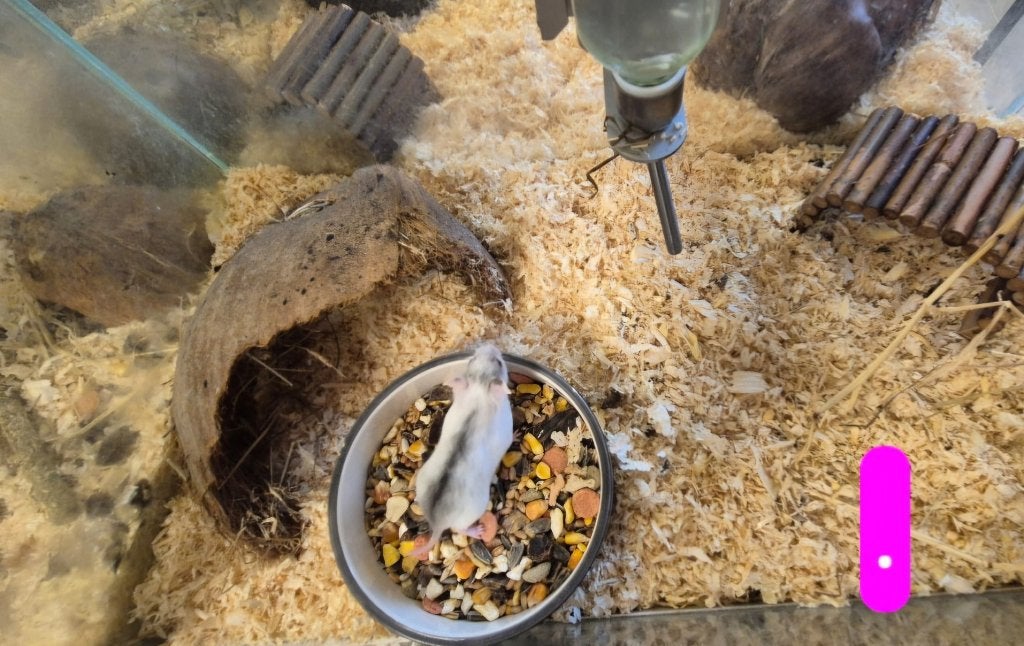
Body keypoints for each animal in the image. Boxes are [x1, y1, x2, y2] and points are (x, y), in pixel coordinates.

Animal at [411, 343, 514, 559]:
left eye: (471, 359)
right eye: (500, 363)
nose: (490, 345)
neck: (479, 390)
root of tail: (437, 523)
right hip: (474, 511)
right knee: (459, 529)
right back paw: (478, 531)